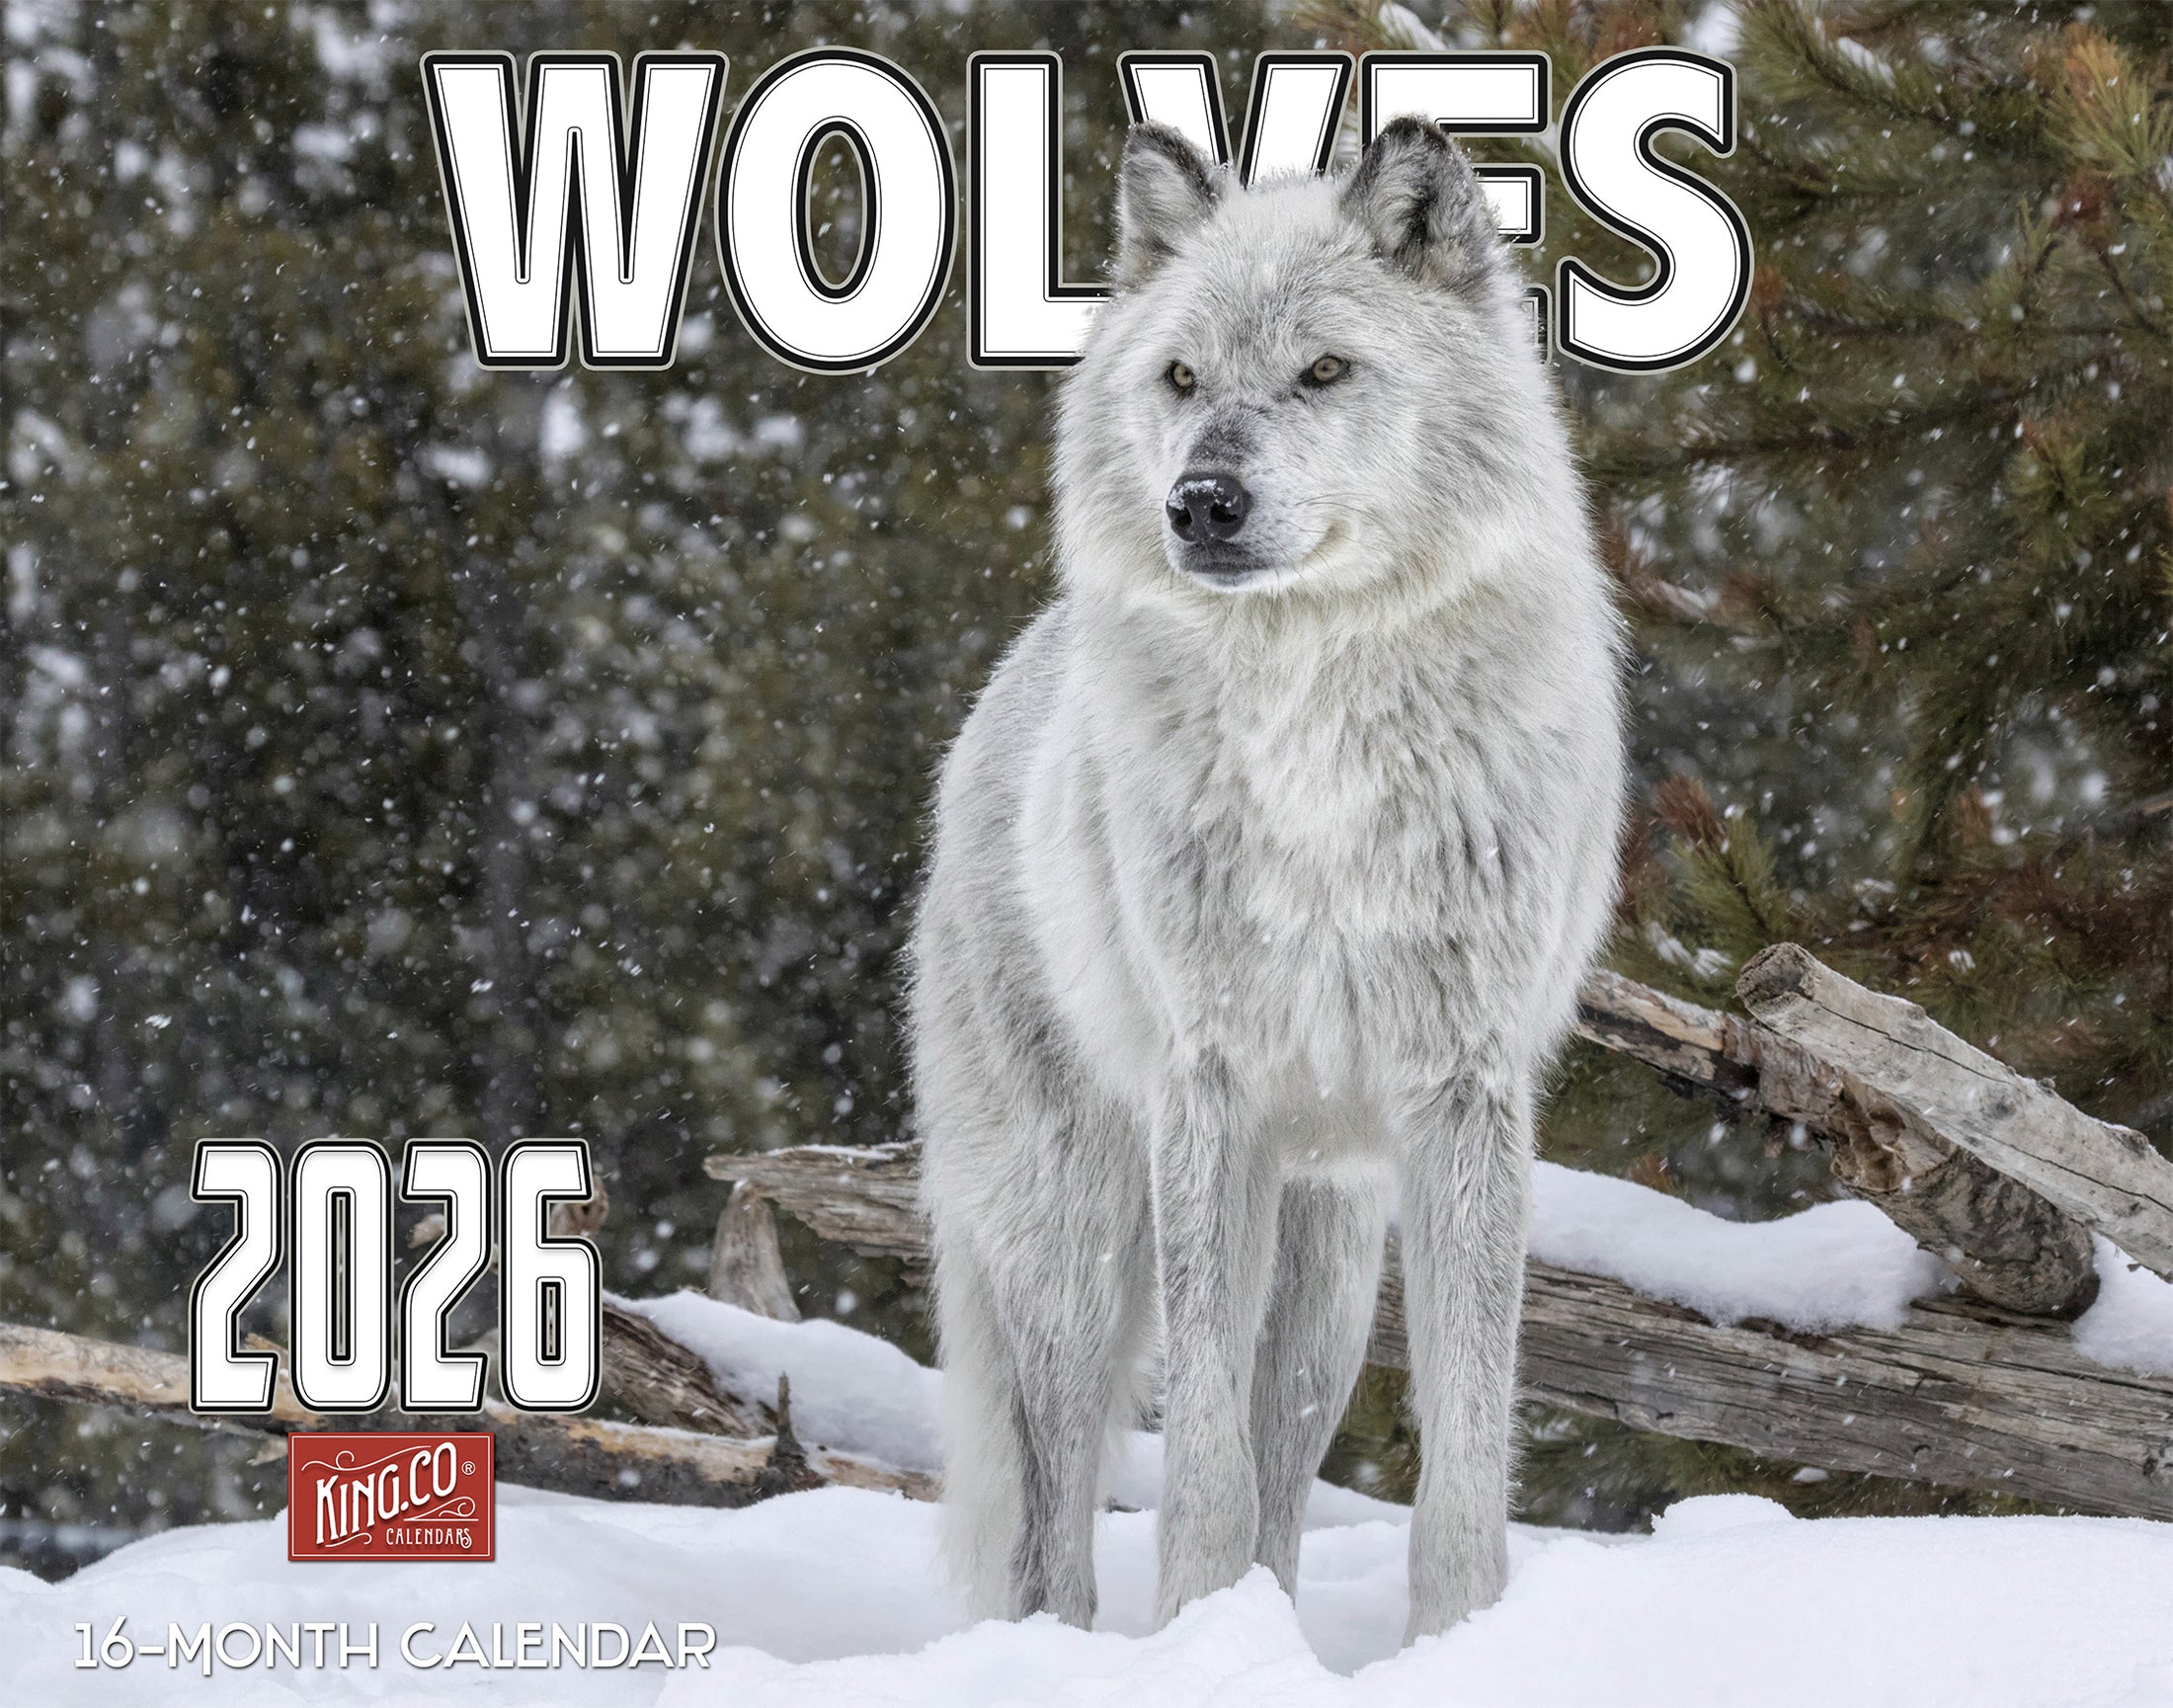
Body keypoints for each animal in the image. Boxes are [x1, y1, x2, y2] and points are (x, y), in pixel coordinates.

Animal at [908, 115, 1624, 1643]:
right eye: (1182, 378)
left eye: (1324, 372)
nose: (1202, 503)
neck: (1318, 733)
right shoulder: (1211, 1091)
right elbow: (1201, 1463)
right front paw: (1197, 1633)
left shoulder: (1460, 1094)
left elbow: (1464, 1449)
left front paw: (1458, 1643)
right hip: (1077, 1239)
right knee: (1055, 1518)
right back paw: (1066, 1650)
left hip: (1333, 1264)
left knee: (1287, 1439)